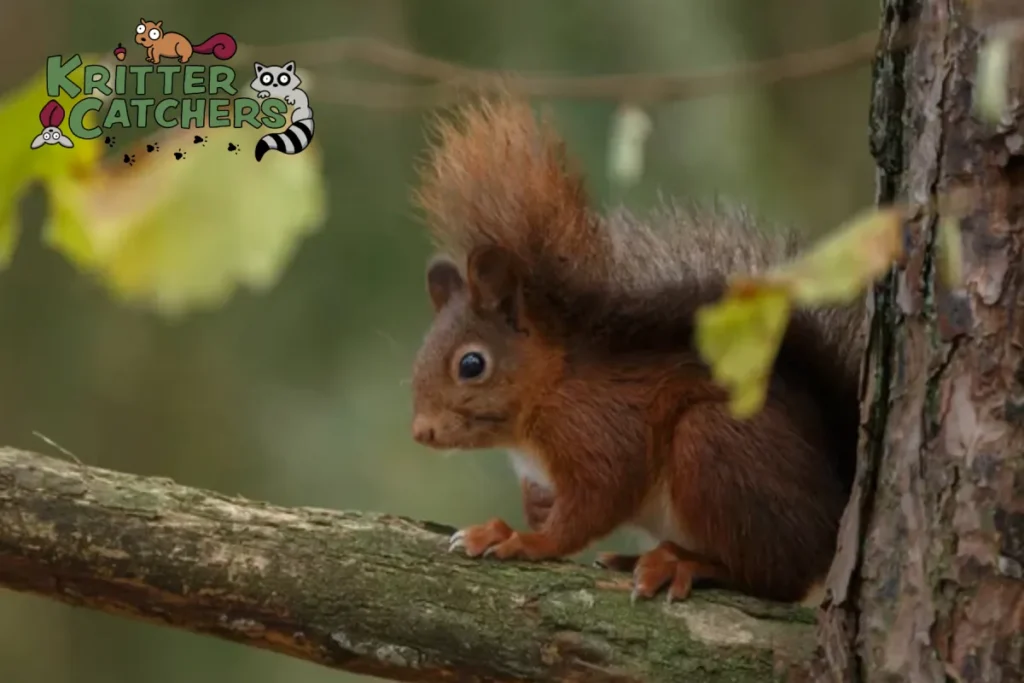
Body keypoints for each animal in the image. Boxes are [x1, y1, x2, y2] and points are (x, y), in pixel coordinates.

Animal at [408, 95, 865, 605]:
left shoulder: (599, 429)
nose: (421, 431)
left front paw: (524, 540)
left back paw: (683, 563)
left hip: (717, 447)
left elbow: (594, 504)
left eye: (471, 364)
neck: (548, 387)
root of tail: (831, 520)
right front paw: (518, 518)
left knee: (773, 578)